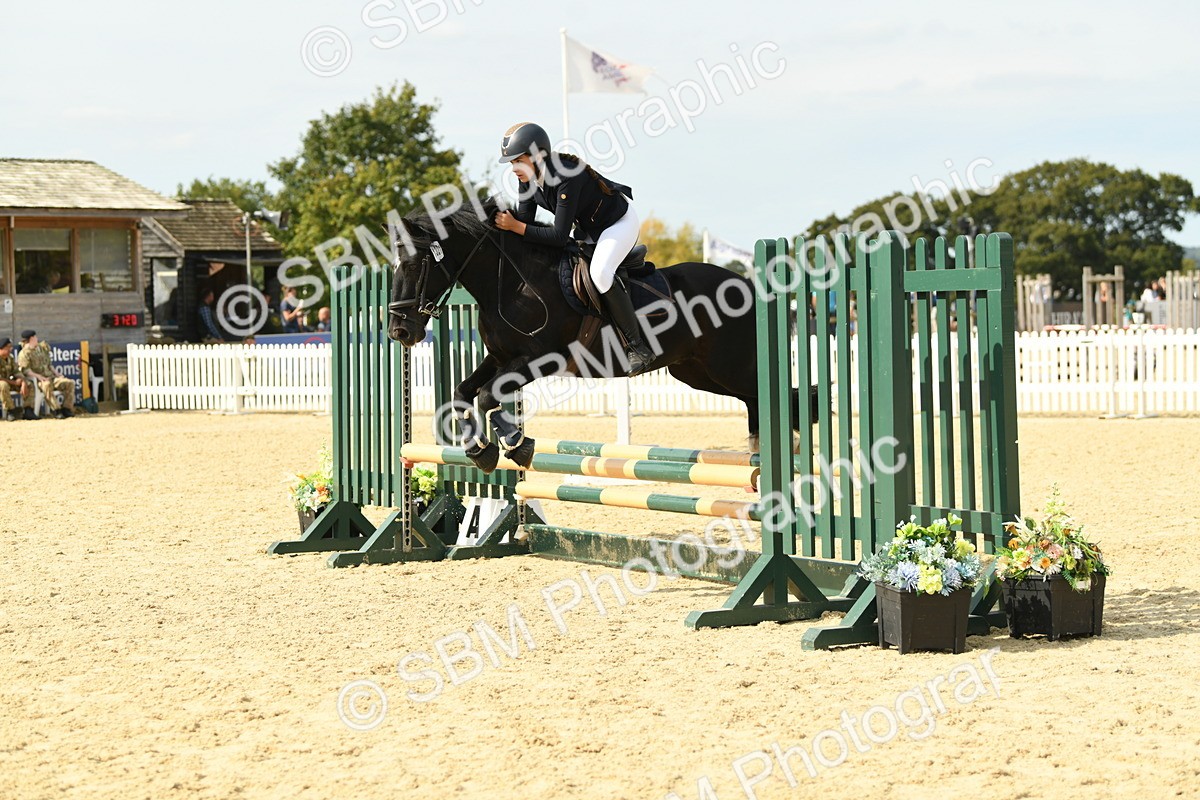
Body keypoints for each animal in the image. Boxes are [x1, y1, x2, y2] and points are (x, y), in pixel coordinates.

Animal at [388, 198, 812, 472]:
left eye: (416, 264)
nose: (400, 331)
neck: (510, 283)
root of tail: (748, 285)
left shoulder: (541, 359)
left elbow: (489, 396)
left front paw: (516, 446)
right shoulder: (501, 358)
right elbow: (462, 392)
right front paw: (480, 451)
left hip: (728, 367)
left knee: (775, 395)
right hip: (696, 372)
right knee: (755, 399)